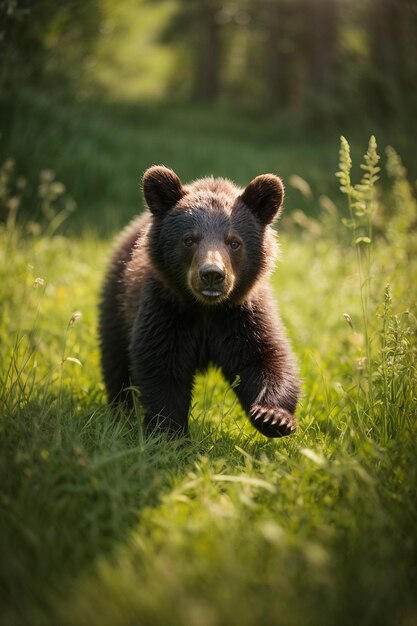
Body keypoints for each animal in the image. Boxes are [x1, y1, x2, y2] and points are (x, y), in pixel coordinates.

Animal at [97, 168, 300, 436]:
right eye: (189, 239)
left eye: (234, 242)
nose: (212, 274)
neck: (205, 308)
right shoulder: (167, 311)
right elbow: (161, 367)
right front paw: (169, 430)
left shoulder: (241, 316)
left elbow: (265, 358)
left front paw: (274, 417)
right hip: (118, 302)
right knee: (115, 358)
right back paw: (120, 412)